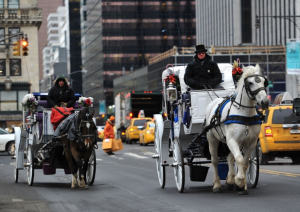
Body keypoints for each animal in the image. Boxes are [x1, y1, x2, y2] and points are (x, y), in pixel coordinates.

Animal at [206, 63, 270, 195]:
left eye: (263, 81)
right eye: (250, 83)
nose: (265, 102)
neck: (245, 115)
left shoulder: (251, 143)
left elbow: (245, 162)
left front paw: (242, 186)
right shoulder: (232, 140)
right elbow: (239, 159)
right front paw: (240, 181)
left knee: (230, 158)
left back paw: (230, 180)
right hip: (212, 138)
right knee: (215, 161)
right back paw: (217, 185)